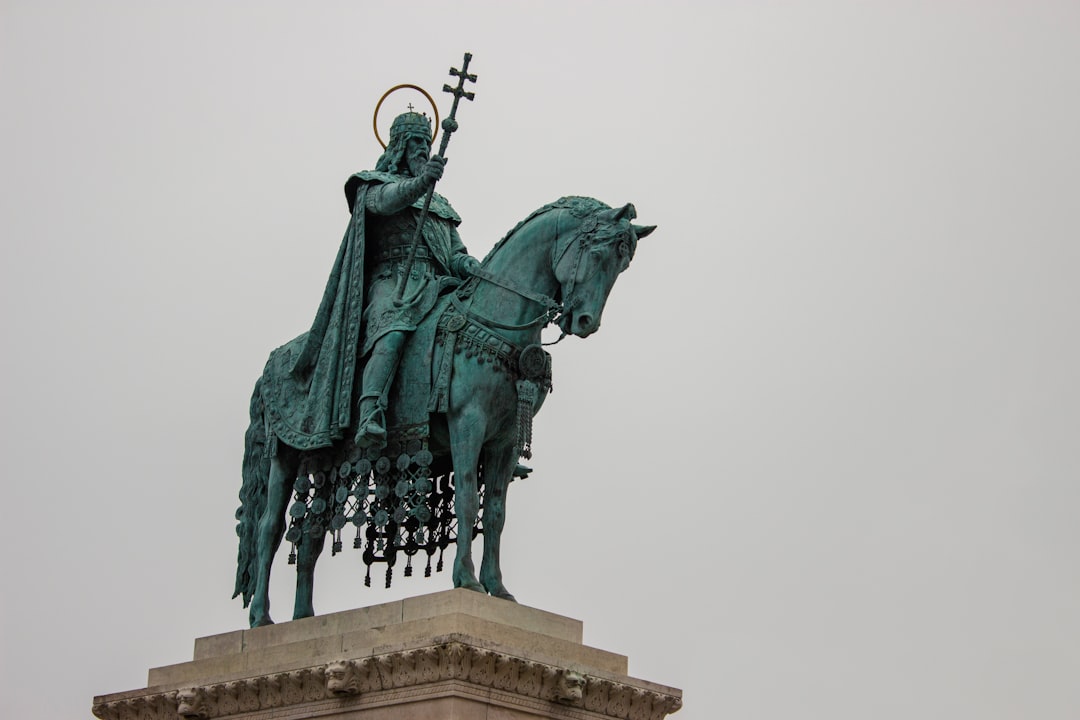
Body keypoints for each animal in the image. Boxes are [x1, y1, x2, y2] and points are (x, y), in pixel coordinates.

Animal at [233, 195, 652, 626]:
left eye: (622, 265)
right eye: (598, 252)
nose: (585, 322)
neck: (495, 321)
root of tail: (272, 363)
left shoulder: (504, 441)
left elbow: (496, 511)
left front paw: (498, 588)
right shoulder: (466, 423)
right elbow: (467, 495)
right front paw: (466, 579)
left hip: (321, 459)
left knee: (311, 535)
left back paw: (303, 618)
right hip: (284, 456)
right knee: (268, 529)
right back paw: (261, 617)